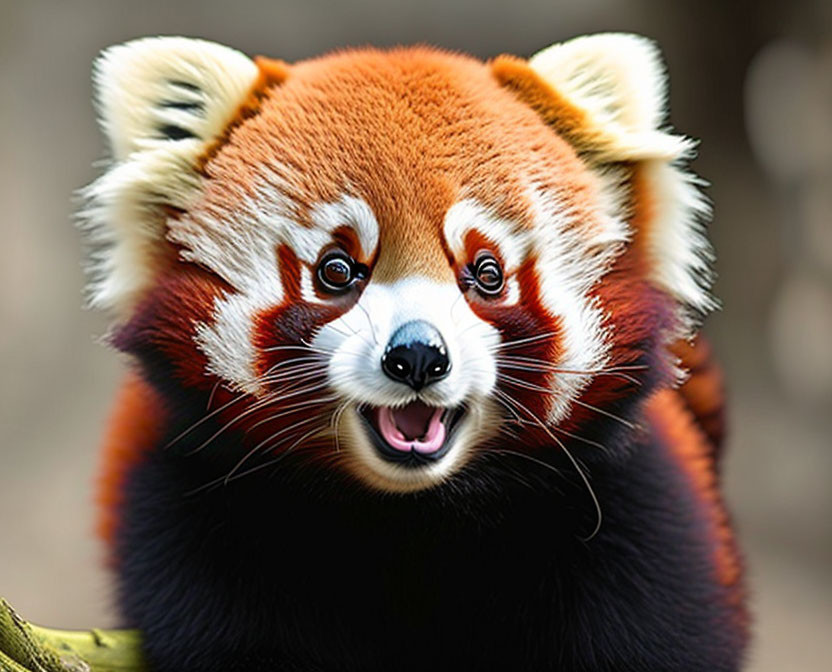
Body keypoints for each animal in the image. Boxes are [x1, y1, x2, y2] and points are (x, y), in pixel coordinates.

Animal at [83, 35, 748, 672]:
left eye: (486, 272)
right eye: (337, 269)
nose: (418, 356)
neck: (414, 519)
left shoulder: (630, 520)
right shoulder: (196, 520)